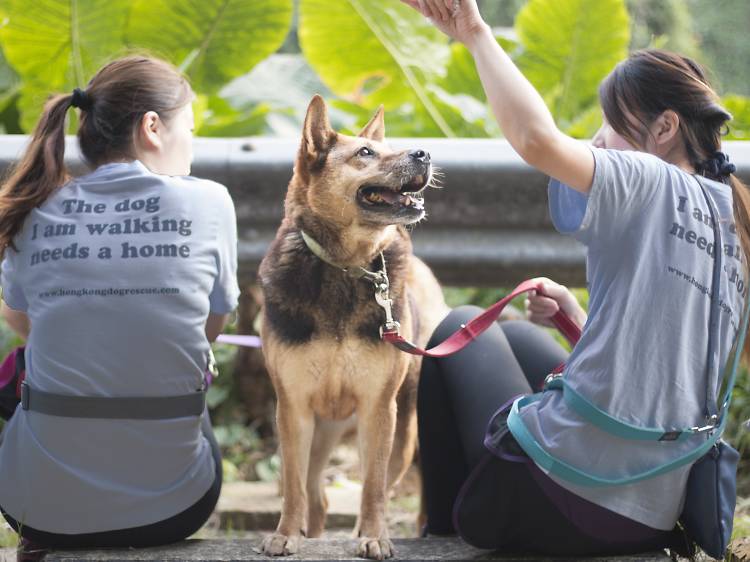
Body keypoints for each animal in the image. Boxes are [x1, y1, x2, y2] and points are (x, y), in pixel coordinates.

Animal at [260, 96, 446, 556]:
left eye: (387, 148)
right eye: (365, 153)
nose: (425, 153)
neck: (347, 266)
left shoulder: (379, 409)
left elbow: (374, 487)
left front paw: (374, 537)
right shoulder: (293, 408)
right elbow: (293, 487)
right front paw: (286, 534)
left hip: (404, 431)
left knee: (385, 484)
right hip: (320, 429)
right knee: (315, 492)